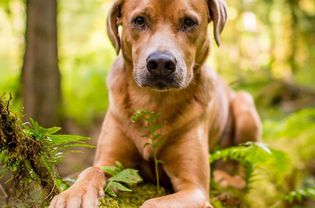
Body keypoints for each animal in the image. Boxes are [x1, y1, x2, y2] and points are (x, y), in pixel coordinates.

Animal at [49, 0, 262, 207]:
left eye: (189, 22)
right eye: (139, 20)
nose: (161, 63)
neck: (153, 101)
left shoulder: (195, 189)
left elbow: (153, 203)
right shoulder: (108, 159)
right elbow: (92, 170)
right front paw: (75, 194)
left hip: (245, 108)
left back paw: (228, 179)